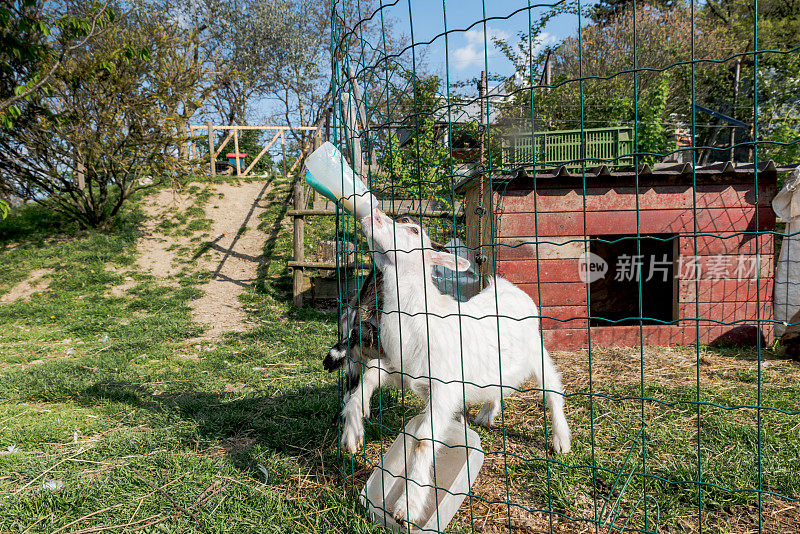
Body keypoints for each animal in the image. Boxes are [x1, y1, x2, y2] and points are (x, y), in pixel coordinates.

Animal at [340, 208, 572, 528]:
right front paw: (353, 428)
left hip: (537, 352)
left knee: (553, 391)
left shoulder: (444, 389)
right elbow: (373, 370)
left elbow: (424, 440)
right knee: (498, 387)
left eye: (413, 230)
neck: (422, 315)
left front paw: (407, 508)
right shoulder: (403, 370)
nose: (371, 214)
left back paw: (561, 440)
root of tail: (507, 287)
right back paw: (486, 415)